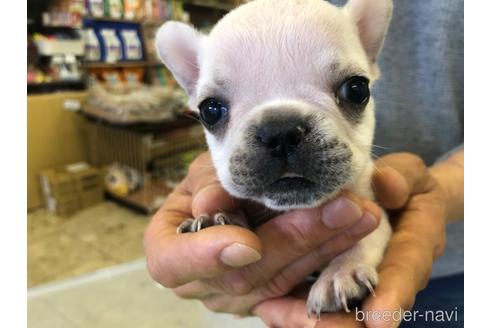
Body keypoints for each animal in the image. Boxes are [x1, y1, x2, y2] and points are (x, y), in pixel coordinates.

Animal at [156, 0, 394, 316]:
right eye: (210, 110)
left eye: (356, 89)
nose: (280, 130)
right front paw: (213, 219)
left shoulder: (375, 210)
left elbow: (367, 235)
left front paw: (341, 273)